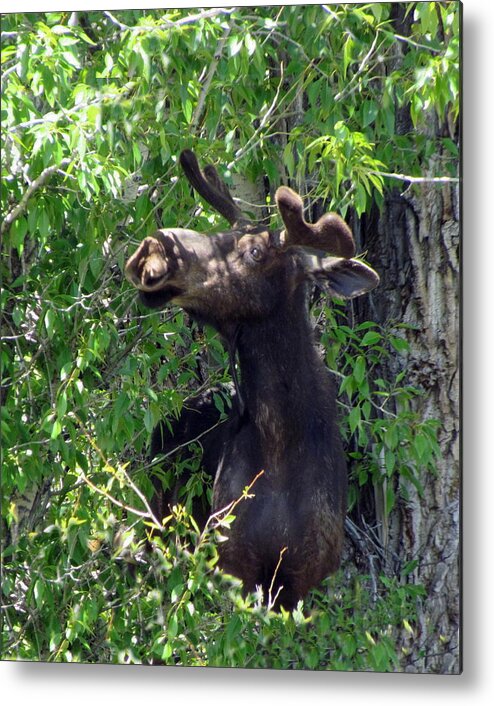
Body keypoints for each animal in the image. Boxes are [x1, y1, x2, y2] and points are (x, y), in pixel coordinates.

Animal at [124, 150, 378, 612]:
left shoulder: (302, 577)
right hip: (156, 520)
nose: (154, 249)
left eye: (255, 251)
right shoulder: (232, 563)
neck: (282, 445)